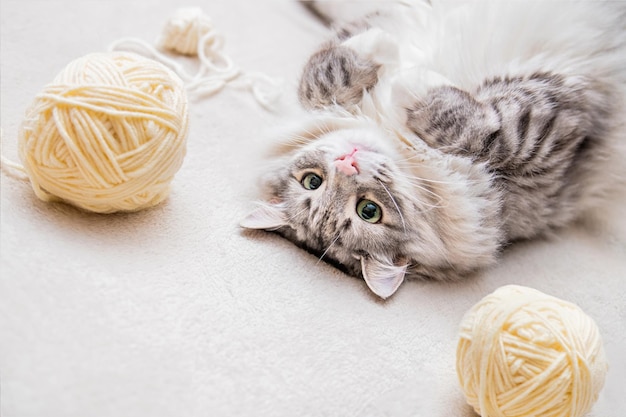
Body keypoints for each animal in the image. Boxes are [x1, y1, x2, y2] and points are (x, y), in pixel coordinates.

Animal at [240, 0, 624, 300]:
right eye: (369, 212)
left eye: (312, 181)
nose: (348, 161)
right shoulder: (545, 139)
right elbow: (487, 130)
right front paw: (400, 68)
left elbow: (323, 77)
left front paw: (392, 62)